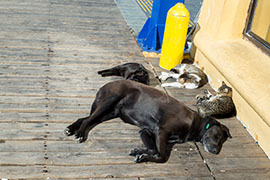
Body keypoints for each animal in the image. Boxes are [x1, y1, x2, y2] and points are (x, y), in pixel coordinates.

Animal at [64, 80, 231, 163]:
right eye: (217, 136)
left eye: (222, 140)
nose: (216, 151)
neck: (194, 123)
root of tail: (107, 84)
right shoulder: (161, 131)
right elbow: (161, 155)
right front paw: (144, 155)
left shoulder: (147, 131)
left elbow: (153, 149)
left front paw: (139, 152)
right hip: (108, 101)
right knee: (87, 120)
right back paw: (79, 134)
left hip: (110, 112)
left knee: (85, 118)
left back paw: (70, 128)